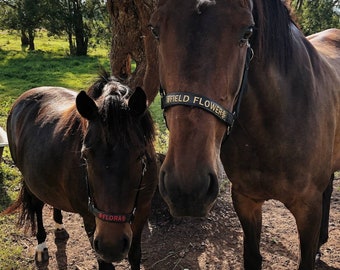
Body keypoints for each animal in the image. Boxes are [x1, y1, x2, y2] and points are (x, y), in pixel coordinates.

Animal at [4, 71, 157, 270]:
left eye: (140, 156)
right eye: (85, 156)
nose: (111, 246)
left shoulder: (142, 212)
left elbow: (135, 255)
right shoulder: (90, 220)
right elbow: (105, 264)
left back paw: (59, 227)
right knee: (37, 206)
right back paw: (41, 247)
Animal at [149, 0, 340, 270]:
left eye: (247, 32)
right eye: (155, 30)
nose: (187, 188)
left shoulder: (308, 209)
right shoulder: (245, 200)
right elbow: (252, 256)